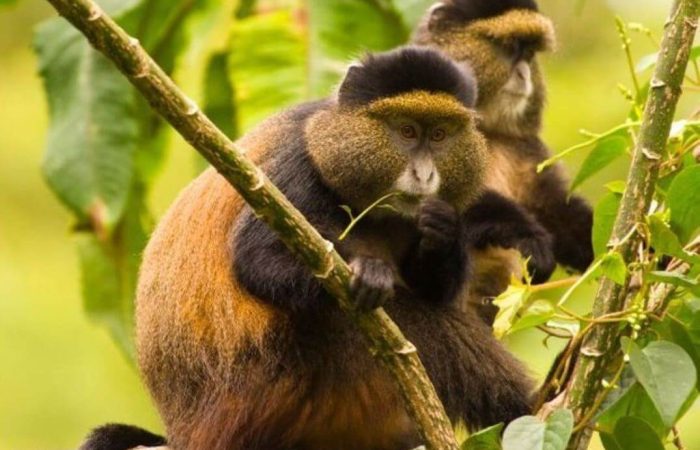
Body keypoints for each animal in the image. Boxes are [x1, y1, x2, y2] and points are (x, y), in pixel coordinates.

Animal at [81, 47, 537, 450]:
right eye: (406, 131)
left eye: (440, 135)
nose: (425, 175)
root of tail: (181, 432)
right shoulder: (295, 168)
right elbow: (257, 260)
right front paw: (371, 274)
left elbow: (436, 286)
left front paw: (442, 231)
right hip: (266, 389)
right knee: (400, 318)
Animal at [413, 0, 594, 319]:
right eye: (509, 47)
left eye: (530, 53)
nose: (524, 75)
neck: (486, 129)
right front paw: (528, 235)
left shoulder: (526, 149)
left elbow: (557, 208)